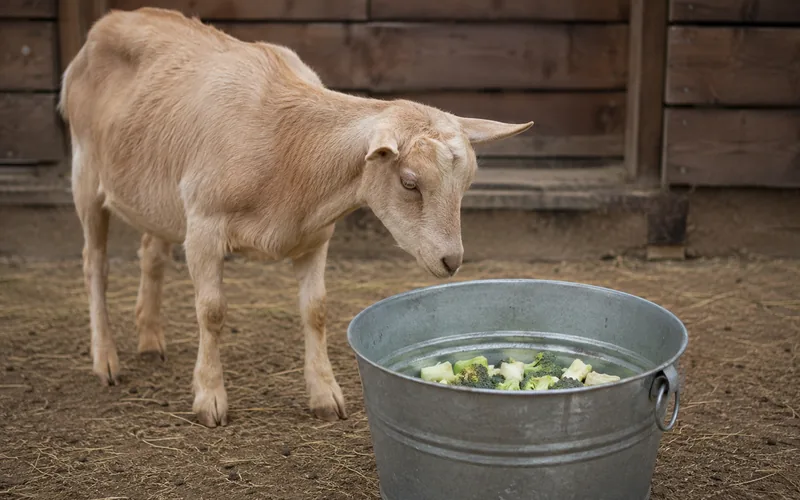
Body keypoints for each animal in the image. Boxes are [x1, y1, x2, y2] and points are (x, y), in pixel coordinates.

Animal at [58, 7, 532, 427]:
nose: (452, 261)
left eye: (467, 182)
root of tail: (113, 19)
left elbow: (316, 310)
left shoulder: (316, 235)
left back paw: (150, 340)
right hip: (85, 173)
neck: (290, 151)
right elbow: (211, 312)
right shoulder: (205, 226)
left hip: (158, 193)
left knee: (150, 252)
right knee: (94, 265)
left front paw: (325, 395)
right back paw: (106, 360)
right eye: (409, 182)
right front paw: (210, 398)